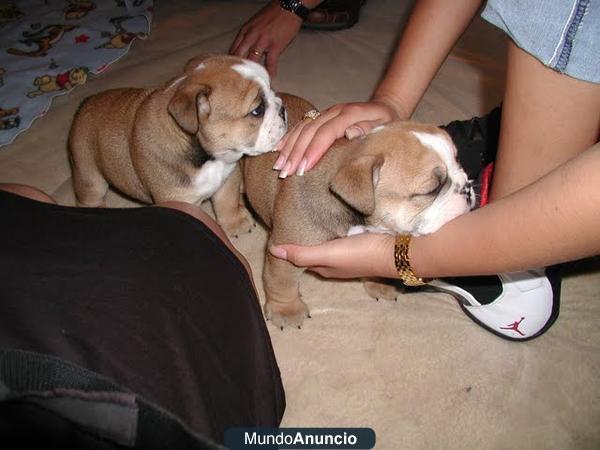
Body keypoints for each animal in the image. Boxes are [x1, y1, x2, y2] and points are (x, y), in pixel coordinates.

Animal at [68, 54, 288, 234]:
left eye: (271, 90)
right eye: (257, 110)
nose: (283, 109)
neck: (209, 158)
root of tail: (84, 104)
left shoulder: (228, 175)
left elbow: (227, 199)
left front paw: (235, 222)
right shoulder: (183, 202)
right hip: (88, 172)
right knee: (89, 195)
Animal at [241, 94, 476, 326]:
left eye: (458, 161)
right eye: (432, 189)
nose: (466, 187)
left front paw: (378, 283)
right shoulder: (283, 252)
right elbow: (282, 281)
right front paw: (286, 310)